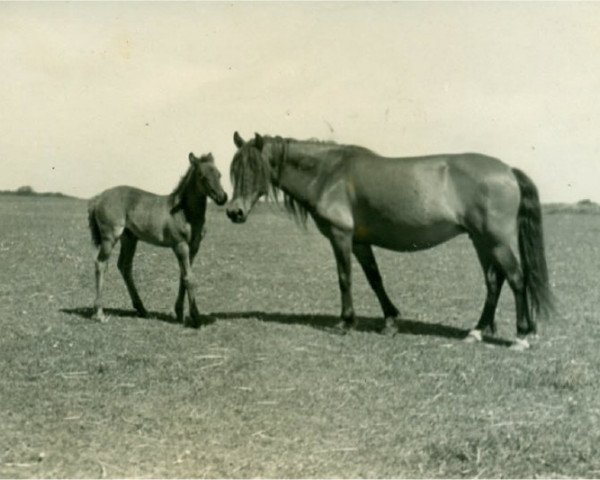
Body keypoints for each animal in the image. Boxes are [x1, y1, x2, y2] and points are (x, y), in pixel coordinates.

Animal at [88, 153, 227, 326]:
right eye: (202, 176)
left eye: (219, 175)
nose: (222, 197)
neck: (185, 212)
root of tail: (98, 198)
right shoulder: (180, 245)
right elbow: (189, 278)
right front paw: (195, 317)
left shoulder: (194, 247)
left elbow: (183, 276)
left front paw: (179, 313)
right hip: (110, 237)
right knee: (101, 263)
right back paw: (99, 313)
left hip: (130, 239)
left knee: (124, 266)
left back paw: (142, 309)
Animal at [225, 131, 552, 348]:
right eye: (234, 169)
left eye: (255, 168)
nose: (234, 211)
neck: (328, 173)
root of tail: (508, 170)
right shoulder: (359, 242)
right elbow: (375, 279)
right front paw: (391, 321)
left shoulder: (341, 236)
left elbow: (345, 278)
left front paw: (345, 322)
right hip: (480, 240)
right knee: (494, 282)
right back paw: (477, 331)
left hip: (496, 241)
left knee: (516, 279)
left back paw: (522, 336)